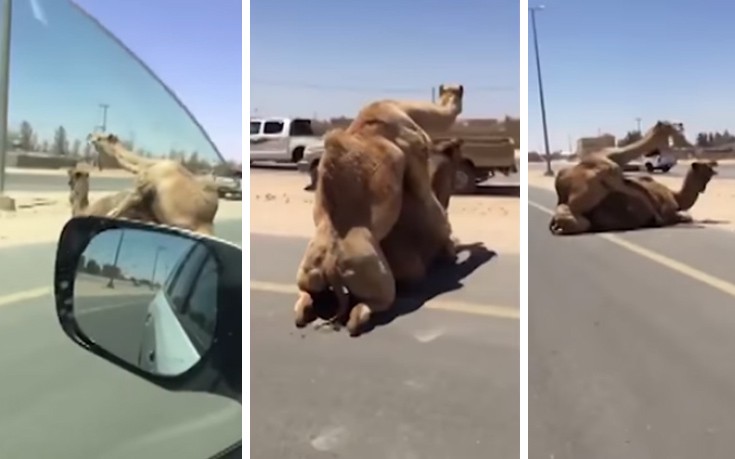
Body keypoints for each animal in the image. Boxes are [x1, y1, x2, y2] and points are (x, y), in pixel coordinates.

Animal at [86, 131, 218, 235]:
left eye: (100, 138)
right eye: (94, 135)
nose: (90, 138)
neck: (144, 165)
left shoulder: (143, 188)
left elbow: (116, 211)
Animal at [294, 84, 462, 336]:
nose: (458, 88)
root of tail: (331, 266)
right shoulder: (416, 150)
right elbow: (431, 203)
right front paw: (452, 247)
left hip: (309, 273)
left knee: (303, 299)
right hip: (376, 276)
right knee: (367, 307)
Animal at [548, 120, 692, 235]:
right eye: (668, 124)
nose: (681, 124)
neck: (616, 156)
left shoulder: (619, 180)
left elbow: (640, 190)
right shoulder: (615, 180)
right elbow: (640, 193)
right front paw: (660, 219)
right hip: (577, 218)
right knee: (583, 224)